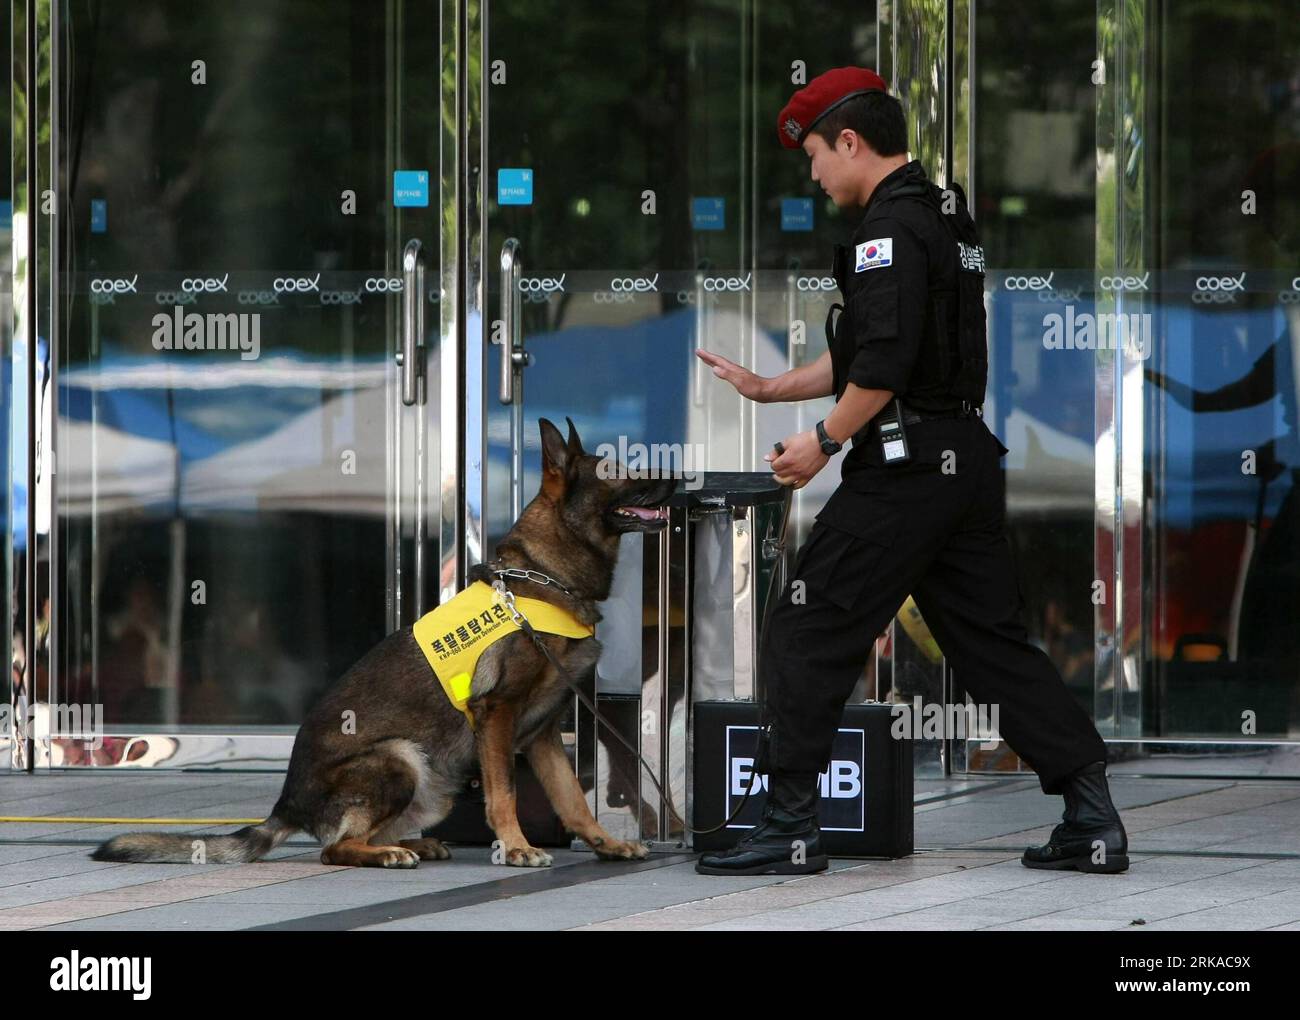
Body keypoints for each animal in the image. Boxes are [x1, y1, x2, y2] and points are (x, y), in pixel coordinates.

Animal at [90, 418, 676, 873]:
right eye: (617, 472)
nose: (678, 477)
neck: (542, 577)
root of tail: (288, 804)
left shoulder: (543, 735)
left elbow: (573, 799)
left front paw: (606, 844)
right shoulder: (498, 716)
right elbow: (505, 793)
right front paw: (515, 847)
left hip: (432, 781)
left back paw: (411, 843)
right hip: (400, 758)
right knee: (335, 848)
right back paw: (389, 853)